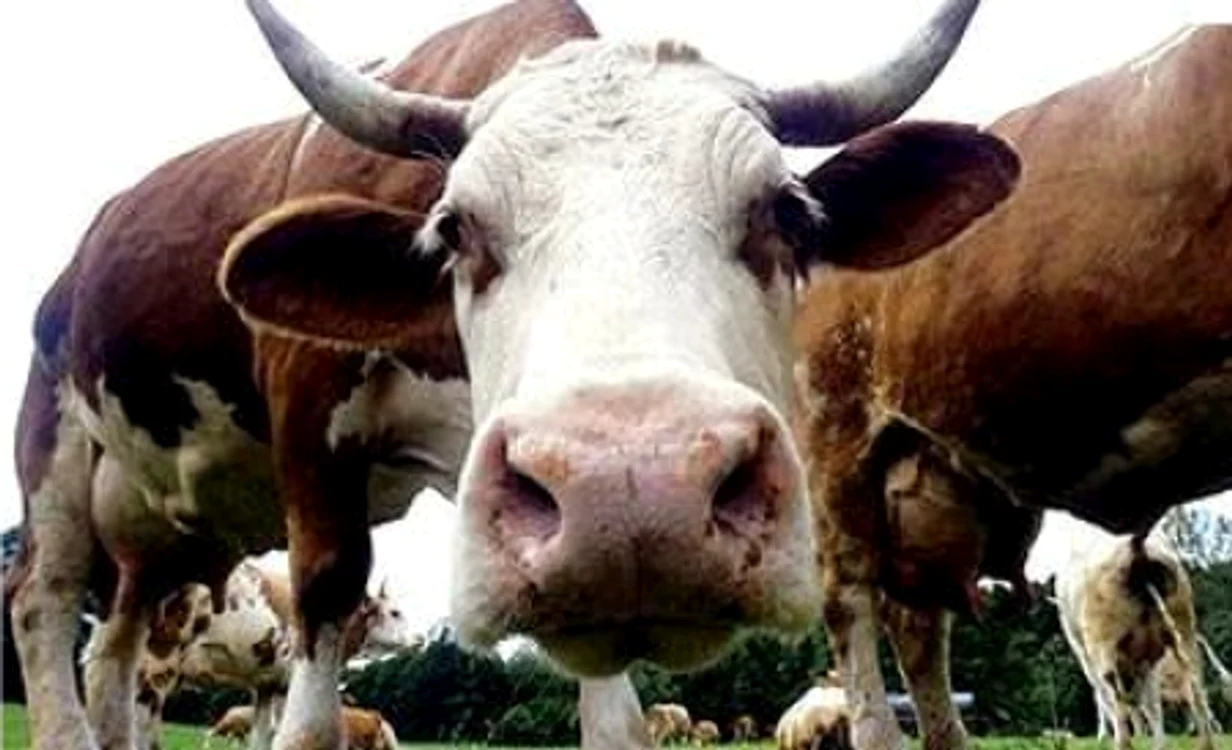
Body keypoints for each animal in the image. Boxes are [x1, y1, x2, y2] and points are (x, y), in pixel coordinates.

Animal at [7, 0, 1021, 747]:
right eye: (453, 229)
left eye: (787, 212)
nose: (635, 488)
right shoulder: (308, 429)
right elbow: (317, 662)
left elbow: (615, 720)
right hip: (52, 451)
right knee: (43, 609)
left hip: (157, 549)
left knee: (116, 654)